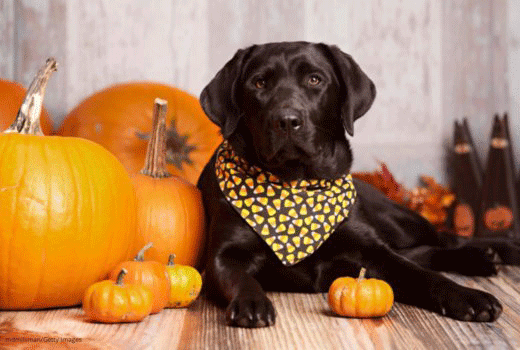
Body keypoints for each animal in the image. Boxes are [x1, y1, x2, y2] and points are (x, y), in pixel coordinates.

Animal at [197, 41, 516, 328]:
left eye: (315, 79)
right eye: (259, 83)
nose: (286, 120)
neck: (296, 183)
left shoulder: (371, 250)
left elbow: (422, 275)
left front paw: (467, 296)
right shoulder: (225, 255)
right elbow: (241, 278)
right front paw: (252, 302)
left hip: (397, 220)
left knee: (442, 239)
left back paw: (492, 252)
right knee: (423, 251)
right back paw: (483, 258)